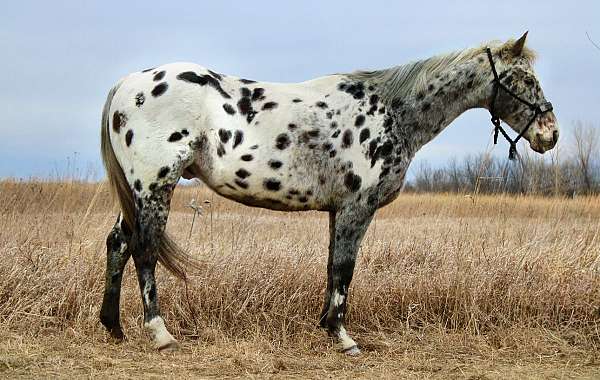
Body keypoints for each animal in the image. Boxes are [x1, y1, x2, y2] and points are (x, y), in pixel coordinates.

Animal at [99, 31, 556, 354]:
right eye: (525, 78)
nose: (550, 135)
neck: (393, 112)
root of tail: (128, 83)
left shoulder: (339, 210)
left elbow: (332, 266)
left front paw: (327, 325)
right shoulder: (358, 207)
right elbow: (344, 268)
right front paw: (343, 337)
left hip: (137, 193)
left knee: (118, 243)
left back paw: (113, 326)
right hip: (155, 186)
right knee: (143, 249)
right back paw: (160, 333)